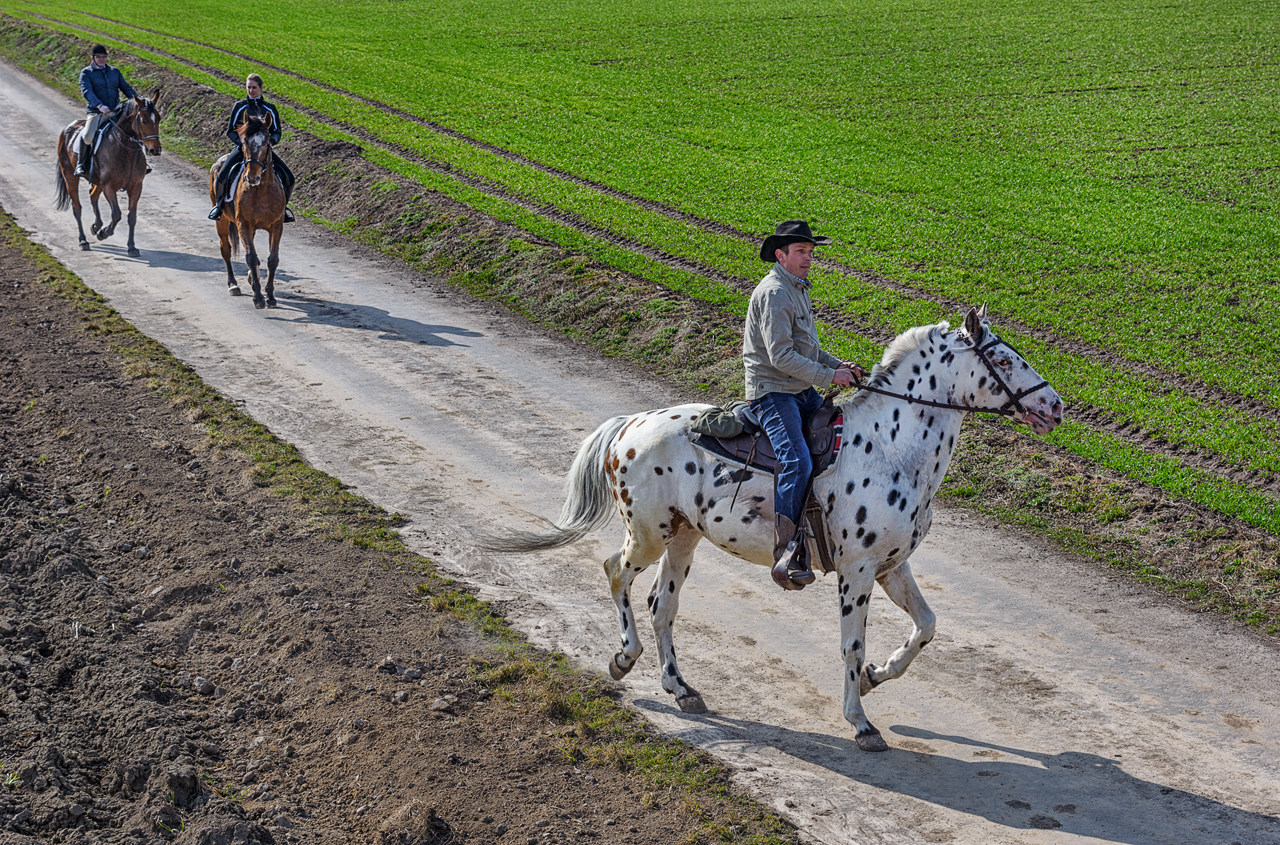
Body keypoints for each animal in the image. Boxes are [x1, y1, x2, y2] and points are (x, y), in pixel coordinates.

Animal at [53, 88, 161, 256]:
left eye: (159, 119)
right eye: (143, 121)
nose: (155, 150)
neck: (126, 149)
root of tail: (68, 129)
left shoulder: (136, 187)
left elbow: (132, 217)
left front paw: (131, 247)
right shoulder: (109, 187)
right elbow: (116, 214)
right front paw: (103, 233)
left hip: (98, 182)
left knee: (92, 195)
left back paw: (96, 226)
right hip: (70, 177)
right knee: (77, 207)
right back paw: (83, 240)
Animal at [209, 112, 285, 308]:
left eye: (266, 143)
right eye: (244, 142)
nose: (252, 177)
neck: (261, 191)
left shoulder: (277, 225)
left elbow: (272, 260)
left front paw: (270, 296)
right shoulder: (243, 224)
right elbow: (251, 257)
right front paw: (258, 297)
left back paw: (252, 277)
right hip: (222, 220)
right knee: (226, 249)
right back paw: (233, 285)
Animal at [481, 304, 1059, 752]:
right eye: (1002, 358)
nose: (1054, 406)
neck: (894, 449)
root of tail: (631, 425)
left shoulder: (892, 566)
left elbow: (926, 626)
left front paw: (877, 678)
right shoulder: (857, 571)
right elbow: (852, 646)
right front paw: (861, 722)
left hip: (685, 539)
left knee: (662, 606)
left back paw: (681, 688)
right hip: (648, 534)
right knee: (615, 574)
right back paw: (624, 658)